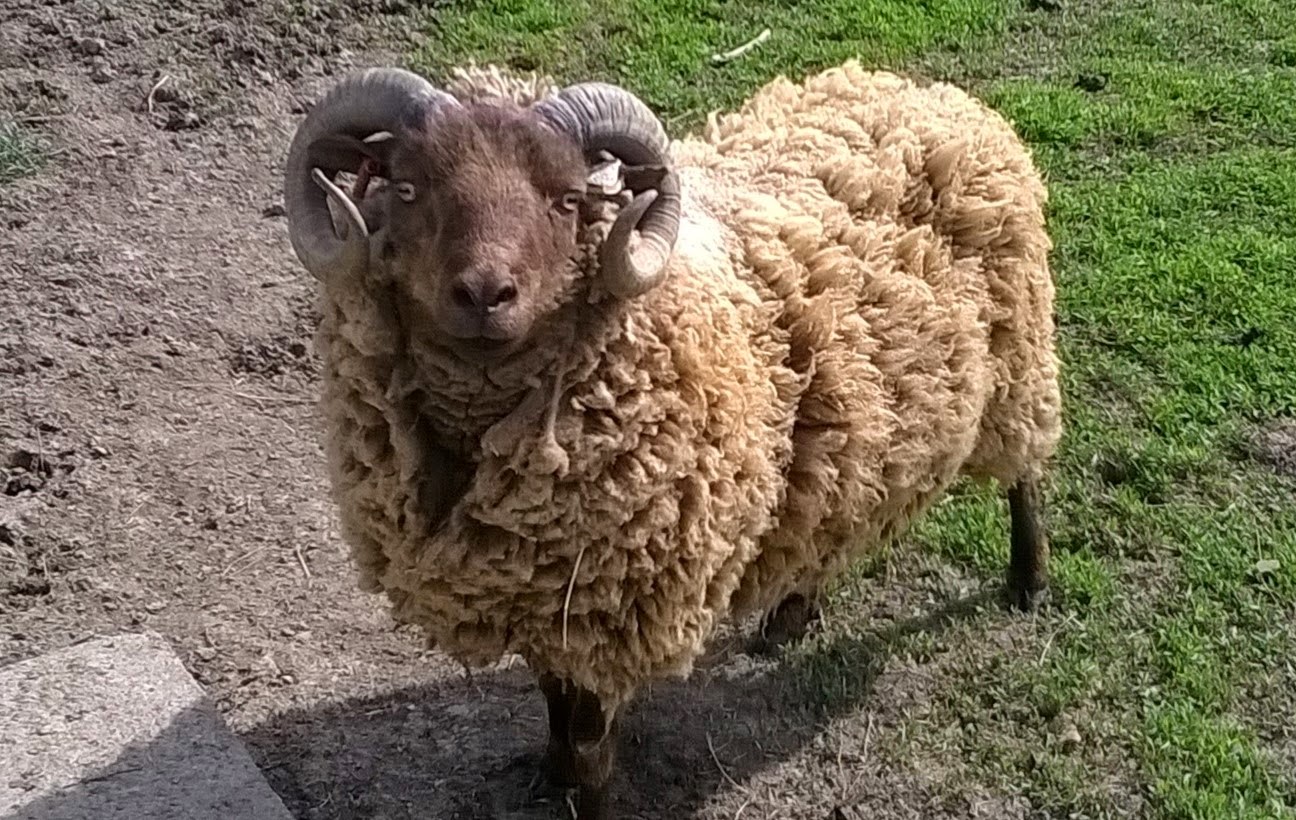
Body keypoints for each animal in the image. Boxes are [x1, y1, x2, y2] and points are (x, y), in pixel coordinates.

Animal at [281, 59, 1061, 818]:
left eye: (569, 200)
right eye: (407, 188)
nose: (482, 295)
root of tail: (933, 94)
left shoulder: (616, 606)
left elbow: (591, 740)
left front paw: (584, 794)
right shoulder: (540, 594)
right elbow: (552, 697)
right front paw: (551, 773)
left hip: (1018, 361)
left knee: (1025, 474)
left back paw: (1028, 581)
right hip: (857, 432)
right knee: (839, 502)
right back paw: (792, 613)